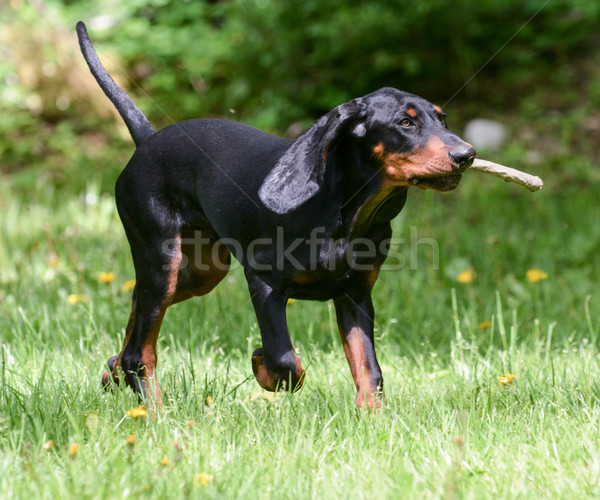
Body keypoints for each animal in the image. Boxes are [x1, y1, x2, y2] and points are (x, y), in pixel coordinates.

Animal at [78, 21, 474, 408]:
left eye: (443, 119)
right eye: (406, 124)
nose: (466, 155)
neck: (346, 214)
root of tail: (148, 140)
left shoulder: (356, 295)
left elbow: (369, 372)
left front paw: (374, 420)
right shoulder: (264, 282)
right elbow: (284, 360)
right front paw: (260, 365)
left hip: (199, 272)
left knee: (135, 315)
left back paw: (113, 373)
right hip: (163, 262)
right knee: (141, 351)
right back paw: (156, 412)